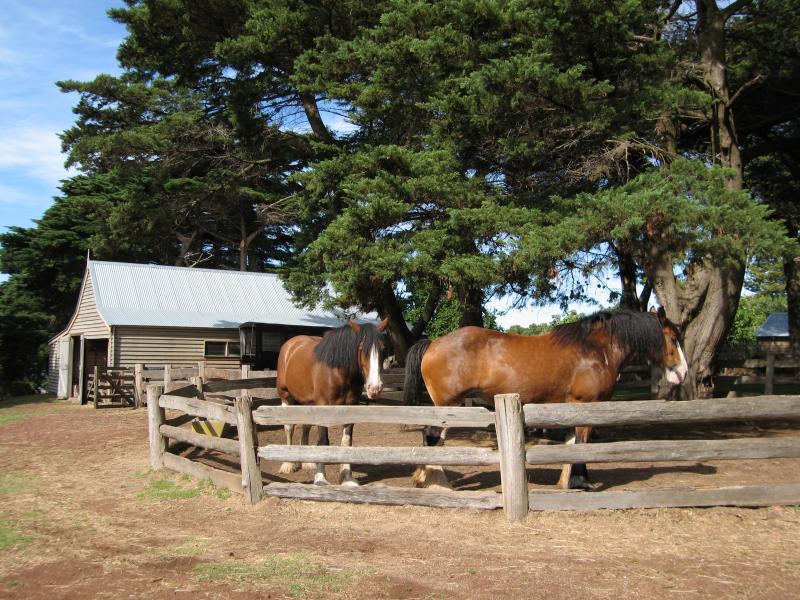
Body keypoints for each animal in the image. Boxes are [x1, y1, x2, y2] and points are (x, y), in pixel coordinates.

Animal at [276, 319, 389, 486]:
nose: (375, 387)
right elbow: (323, 441)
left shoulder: (351, 407)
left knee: (306, 426)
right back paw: (288, 464)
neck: (337, 372)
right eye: (362, 348)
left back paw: (307, 461)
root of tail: (291, 344)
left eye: (383, 348)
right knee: (289, 427)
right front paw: (320, 478)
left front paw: (347, 477)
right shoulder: (323, 407)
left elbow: (346, 441)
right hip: (286, 396)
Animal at [402, 307, 688, 490]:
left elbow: (571, 445)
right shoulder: (585, 406)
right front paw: (583, 483)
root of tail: (433, 343)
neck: (594, 350)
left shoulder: (569, 407)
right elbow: (581, 445)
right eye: (673, 338)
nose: (683, 372)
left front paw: (566, 482)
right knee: (432, 437)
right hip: (447, 406)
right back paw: (437, 482)